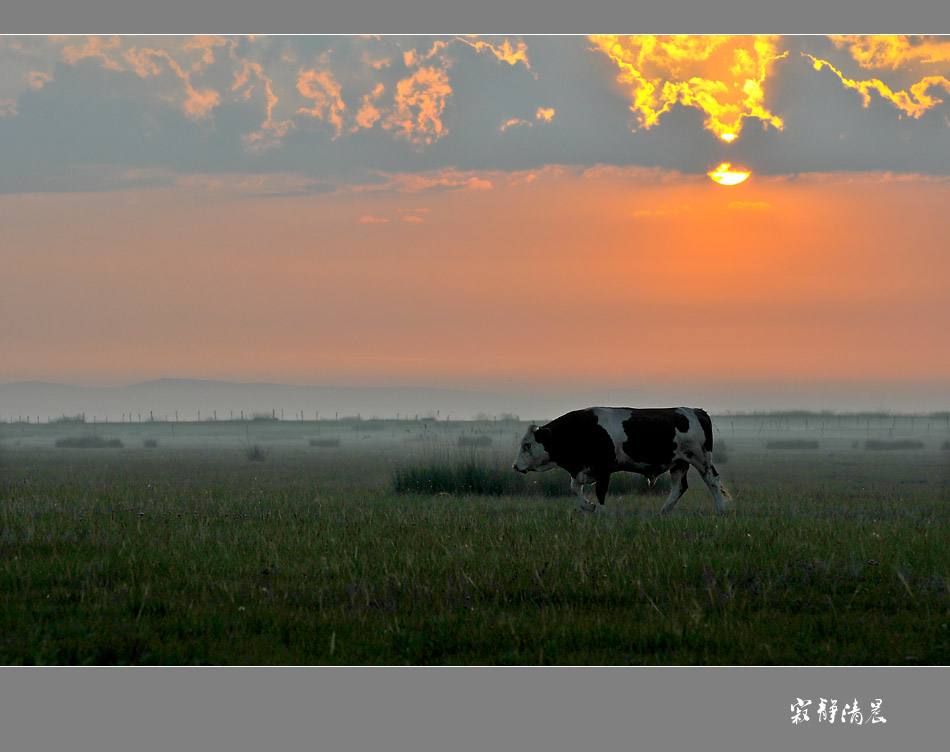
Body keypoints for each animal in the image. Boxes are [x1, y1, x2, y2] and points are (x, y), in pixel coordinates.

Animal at [512, 408, 728, 516]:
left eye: (527, 445)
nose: (515, 466)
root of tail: (697, 411)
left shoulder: (604, 469)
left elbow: (600, 491)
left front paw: (600, 511)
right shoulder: (581, 469)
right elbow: (574, 489)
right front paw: (588, 506)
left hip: (701, 458)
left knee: (713, 481)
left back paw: (721, 510)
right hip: (679, 463)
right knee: (679, 487)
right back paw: (663, 511)